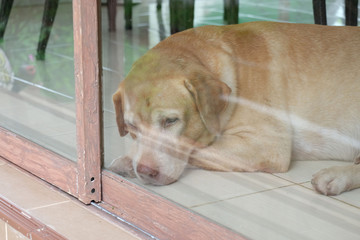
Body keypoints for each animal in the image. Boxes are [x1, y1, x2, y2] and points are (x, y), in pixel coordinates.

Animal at [109, 21, 360, 196]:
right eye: (131, 127)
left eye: (171, 121)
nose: (145, 172)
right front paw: (129, 159)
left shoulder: (268, 144)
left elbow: (197, 149)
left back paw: (336, 176)